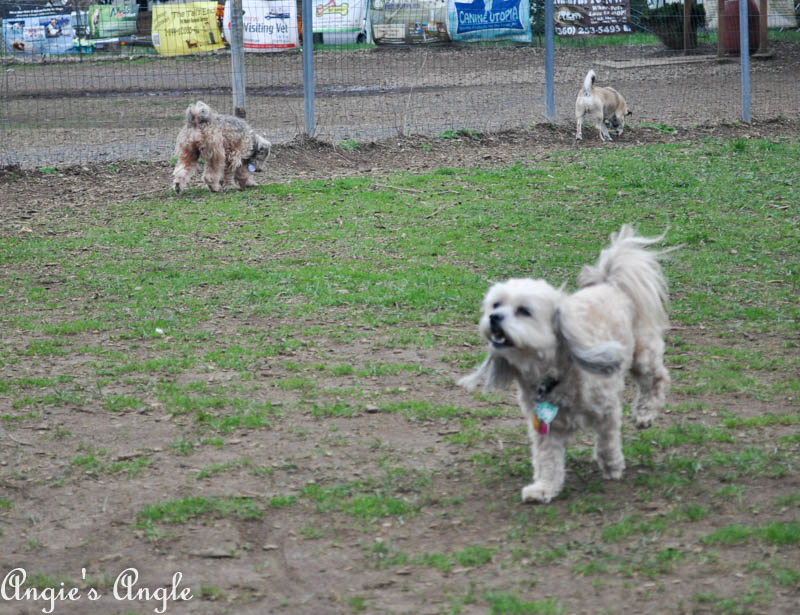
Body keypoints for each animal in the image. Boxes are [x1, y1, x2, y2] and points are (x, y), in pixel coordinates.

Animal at [460, 226, 672, 506]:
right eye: (496, 304)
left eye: (524, 311)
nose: (494, 317)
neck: (552, 374)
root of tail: (610, 284)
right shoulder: (543, 427)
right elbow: (547, 460)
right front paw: (544, 488)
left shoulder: (607, 409)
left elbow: (607, 440)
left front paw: (612, 465)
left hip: (641, 354)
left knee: (657, 378)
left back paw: (645, 413)